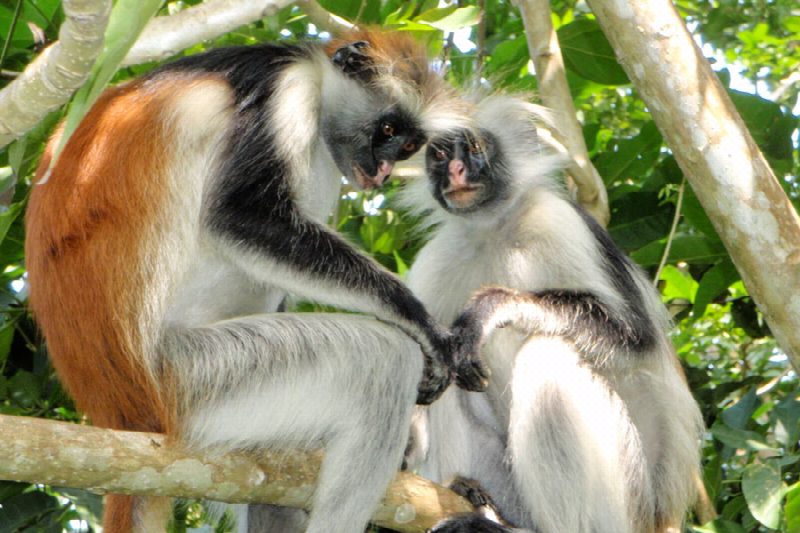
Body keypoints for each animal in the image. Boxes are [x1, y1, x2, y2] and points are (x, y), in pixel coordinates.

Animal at [24, 32, 474, 533]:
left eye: (407, 144)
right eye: (388, 130)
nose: (382, 172)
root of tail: (121, 409)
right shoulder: (285, 88)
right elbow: (241, 213)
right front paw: (420, 322)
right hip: (194, 377)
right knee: (385, 362)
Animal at [400, 94, 705, 533]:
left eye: (475, 148)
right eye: (439, 155)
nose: (455, 172)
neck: (495, 228)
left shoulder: (558, 219)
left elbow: (635, 340)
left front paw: (493, 308)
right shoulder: (438, 258)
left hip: (628, 497)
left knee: (548, 356)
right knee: (452, 370)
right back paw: (474, 498)